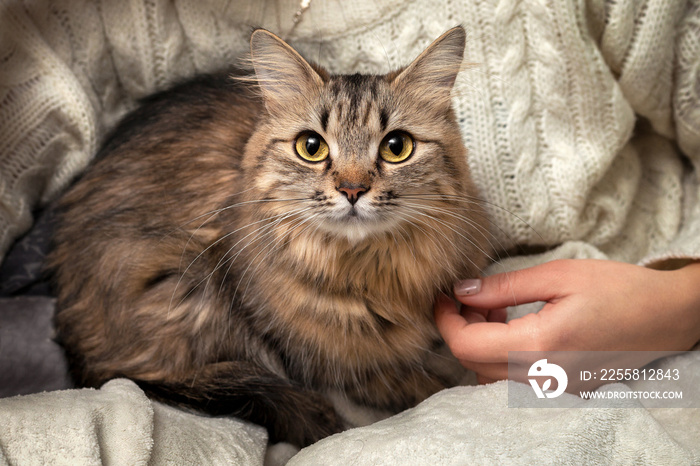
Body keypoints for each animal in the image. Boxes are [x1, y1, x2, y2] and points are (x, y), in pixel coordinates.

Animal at [49, 26, 490, 448]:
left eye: (397, 147)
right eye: (311, 147)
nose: (352, 189)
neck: (368, 274)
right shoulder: (327, 362)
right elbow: (404, 382)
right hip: (188, 284)